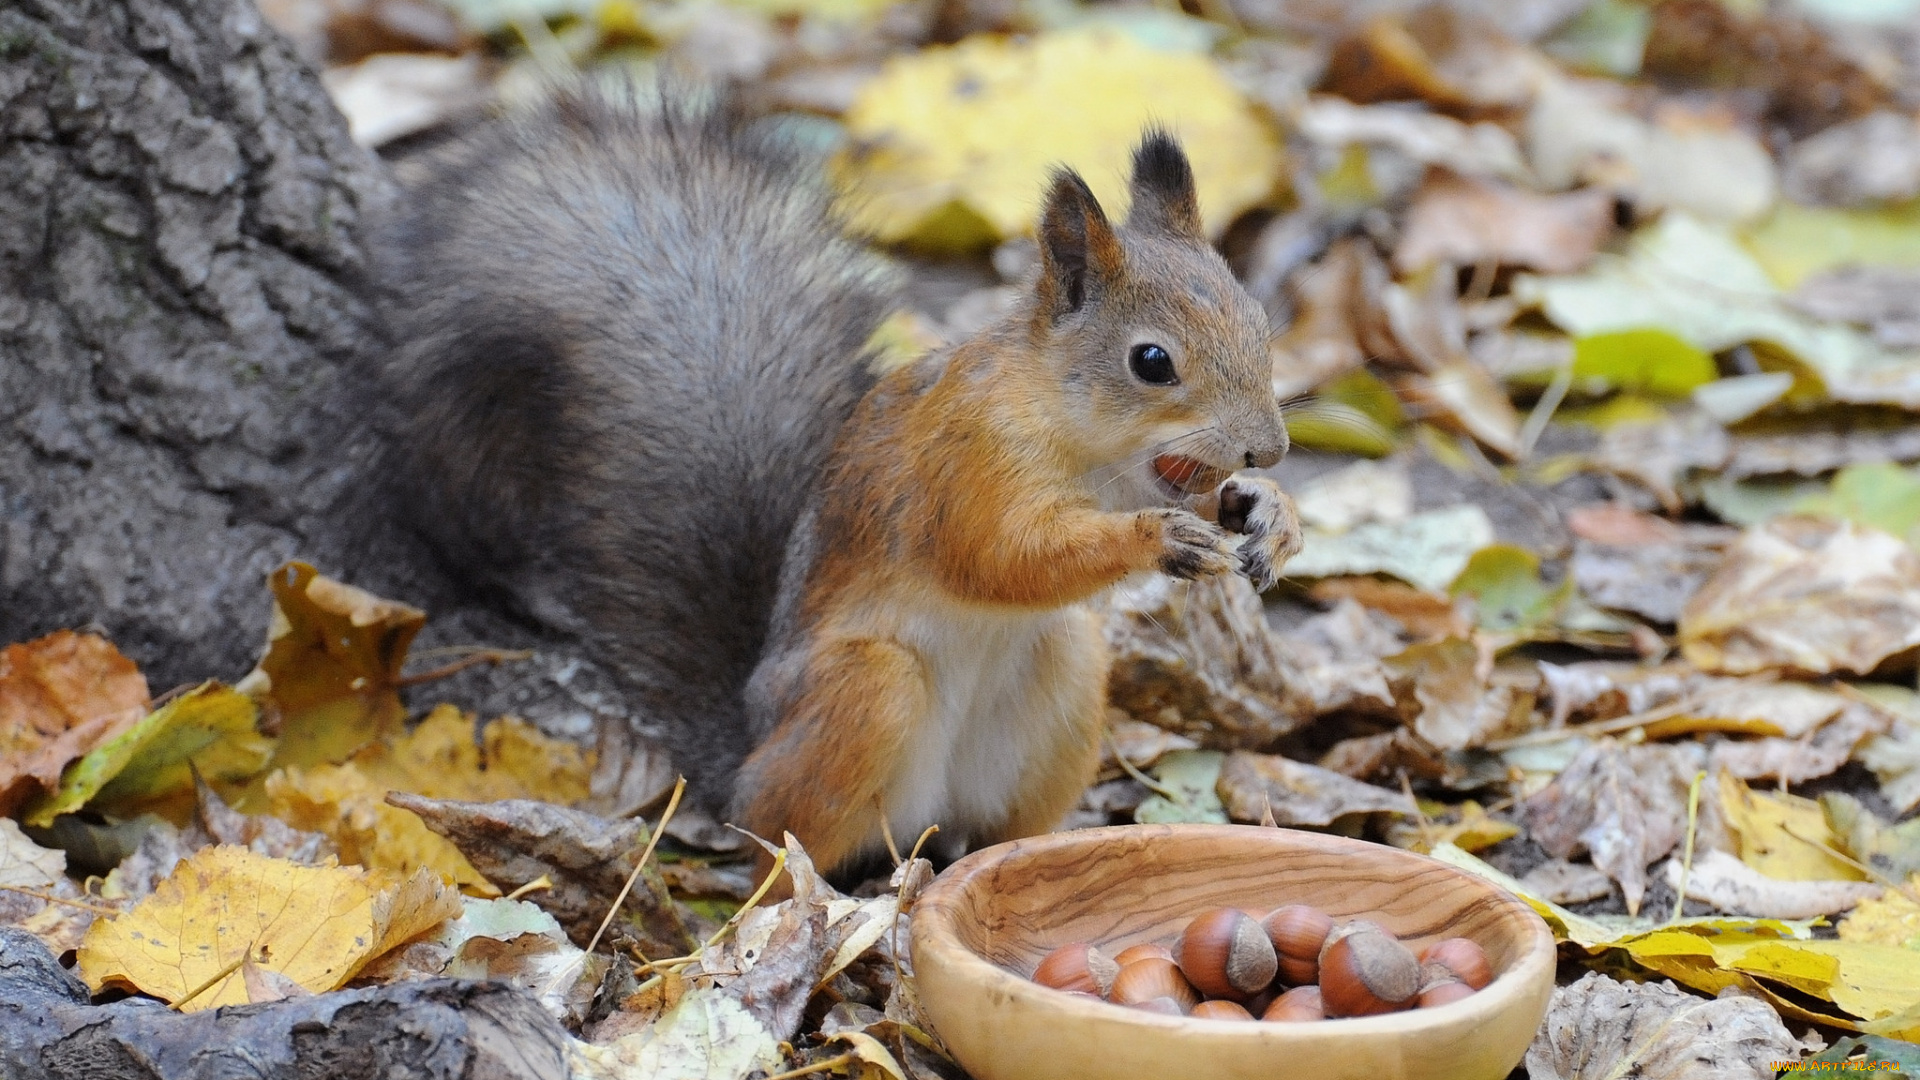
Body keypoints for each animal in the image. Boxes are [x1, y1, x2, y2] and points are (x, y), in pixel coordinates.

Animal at [364, 84, 1297, 876]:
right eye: (1152, 362)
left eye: (1259, 322)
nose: (1271, 449)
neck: (1081, 440)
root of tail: (745, 755)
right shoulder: (964, 462)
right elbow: (999, 557)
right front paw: (1155, 538)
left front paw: (1269, 517)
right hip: (860, 693)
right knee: (783, 845)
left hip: (1060, 678)